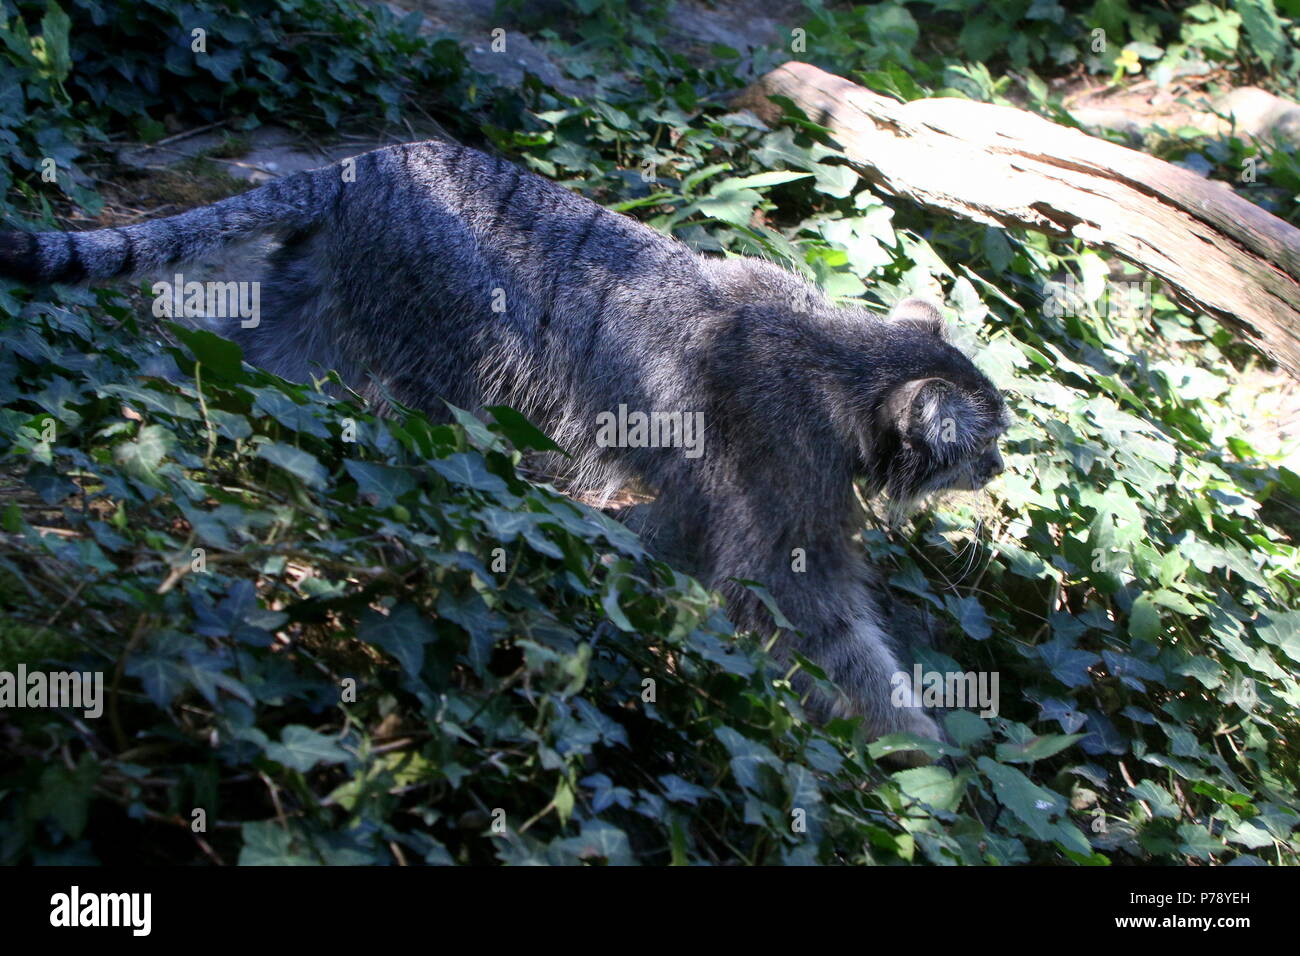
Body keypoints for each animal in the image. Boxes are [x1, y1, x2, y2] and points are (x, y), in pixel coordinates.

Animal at [0, 136, 1008, 764]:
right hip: (441, 376)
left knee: (241, 367)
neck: (841, 357)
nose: (1001, 467)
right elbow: (841, 644)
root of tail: (360, 165)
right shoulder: (783, 539)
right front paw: (921, 755)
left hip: (306, 319)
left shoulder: (696, 509)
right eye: (990, 438)